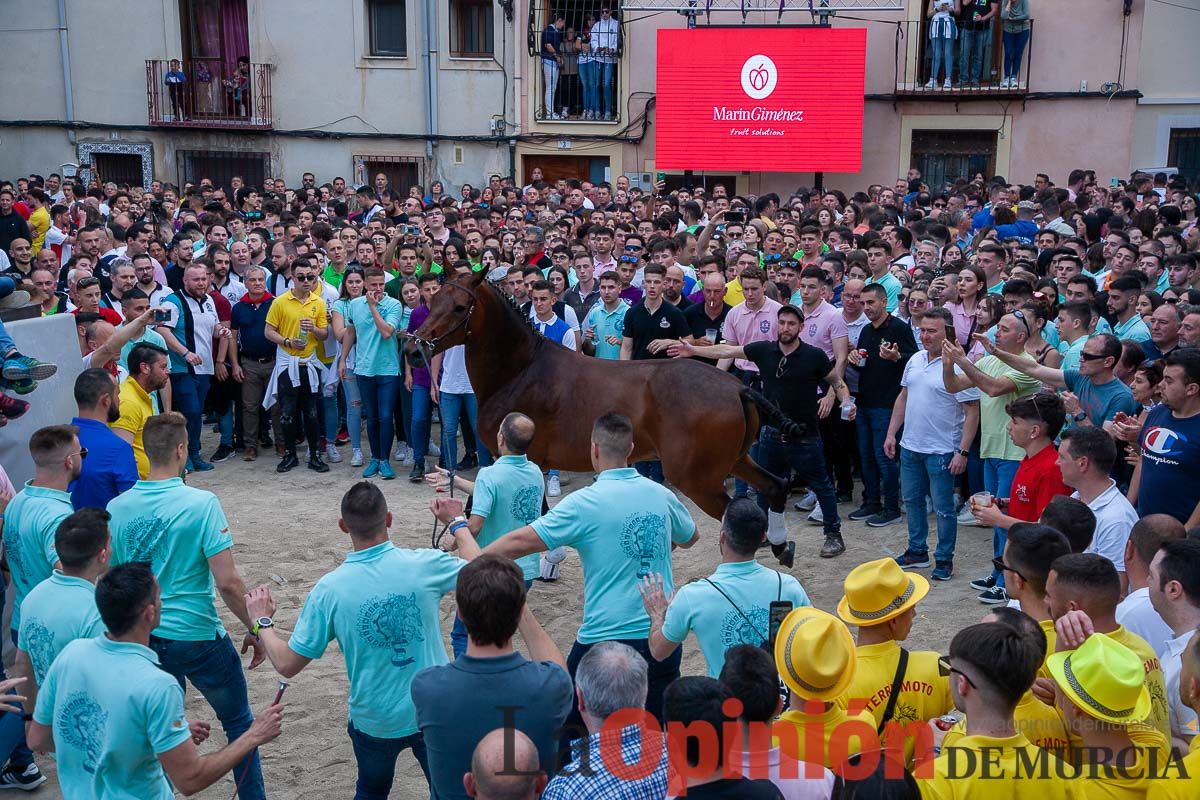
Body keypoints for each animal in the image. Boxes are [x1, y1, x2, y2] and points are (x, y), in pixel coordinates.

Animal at [415, 268, 796, 520]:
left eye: (460, 307)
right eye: (433, 299)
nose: (413, 346)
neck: (520, 371)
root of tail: (738, 388)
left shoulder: (519, 458)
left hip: (698, 478)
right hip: (735, 460)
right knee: (774, 488)